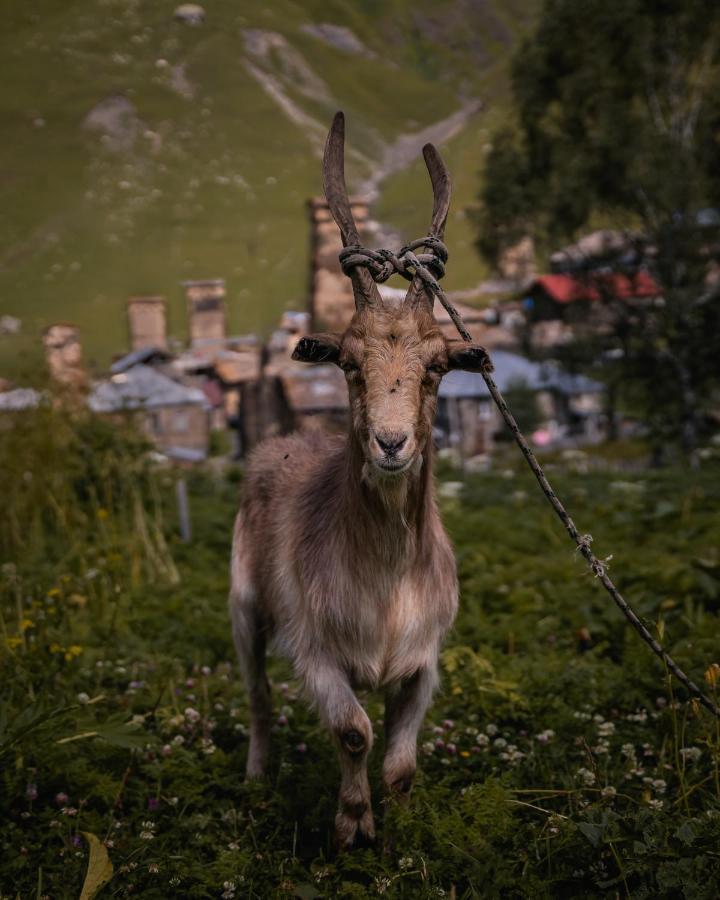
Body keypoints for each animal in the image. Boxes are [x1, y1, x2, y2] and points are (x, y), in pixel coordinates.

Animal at [231, 112, 490, 852]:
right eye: (347, 362)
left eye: (437, 366)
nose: (391, 442)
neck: (386, 582)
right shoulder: (314, 648)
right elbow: (352, 731)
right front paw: (352, 826)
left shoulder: (424, 662)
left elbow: (400, 761)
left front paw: (397, 829)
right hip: (243, 606)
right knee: (257, 693)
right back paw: (257, 775)